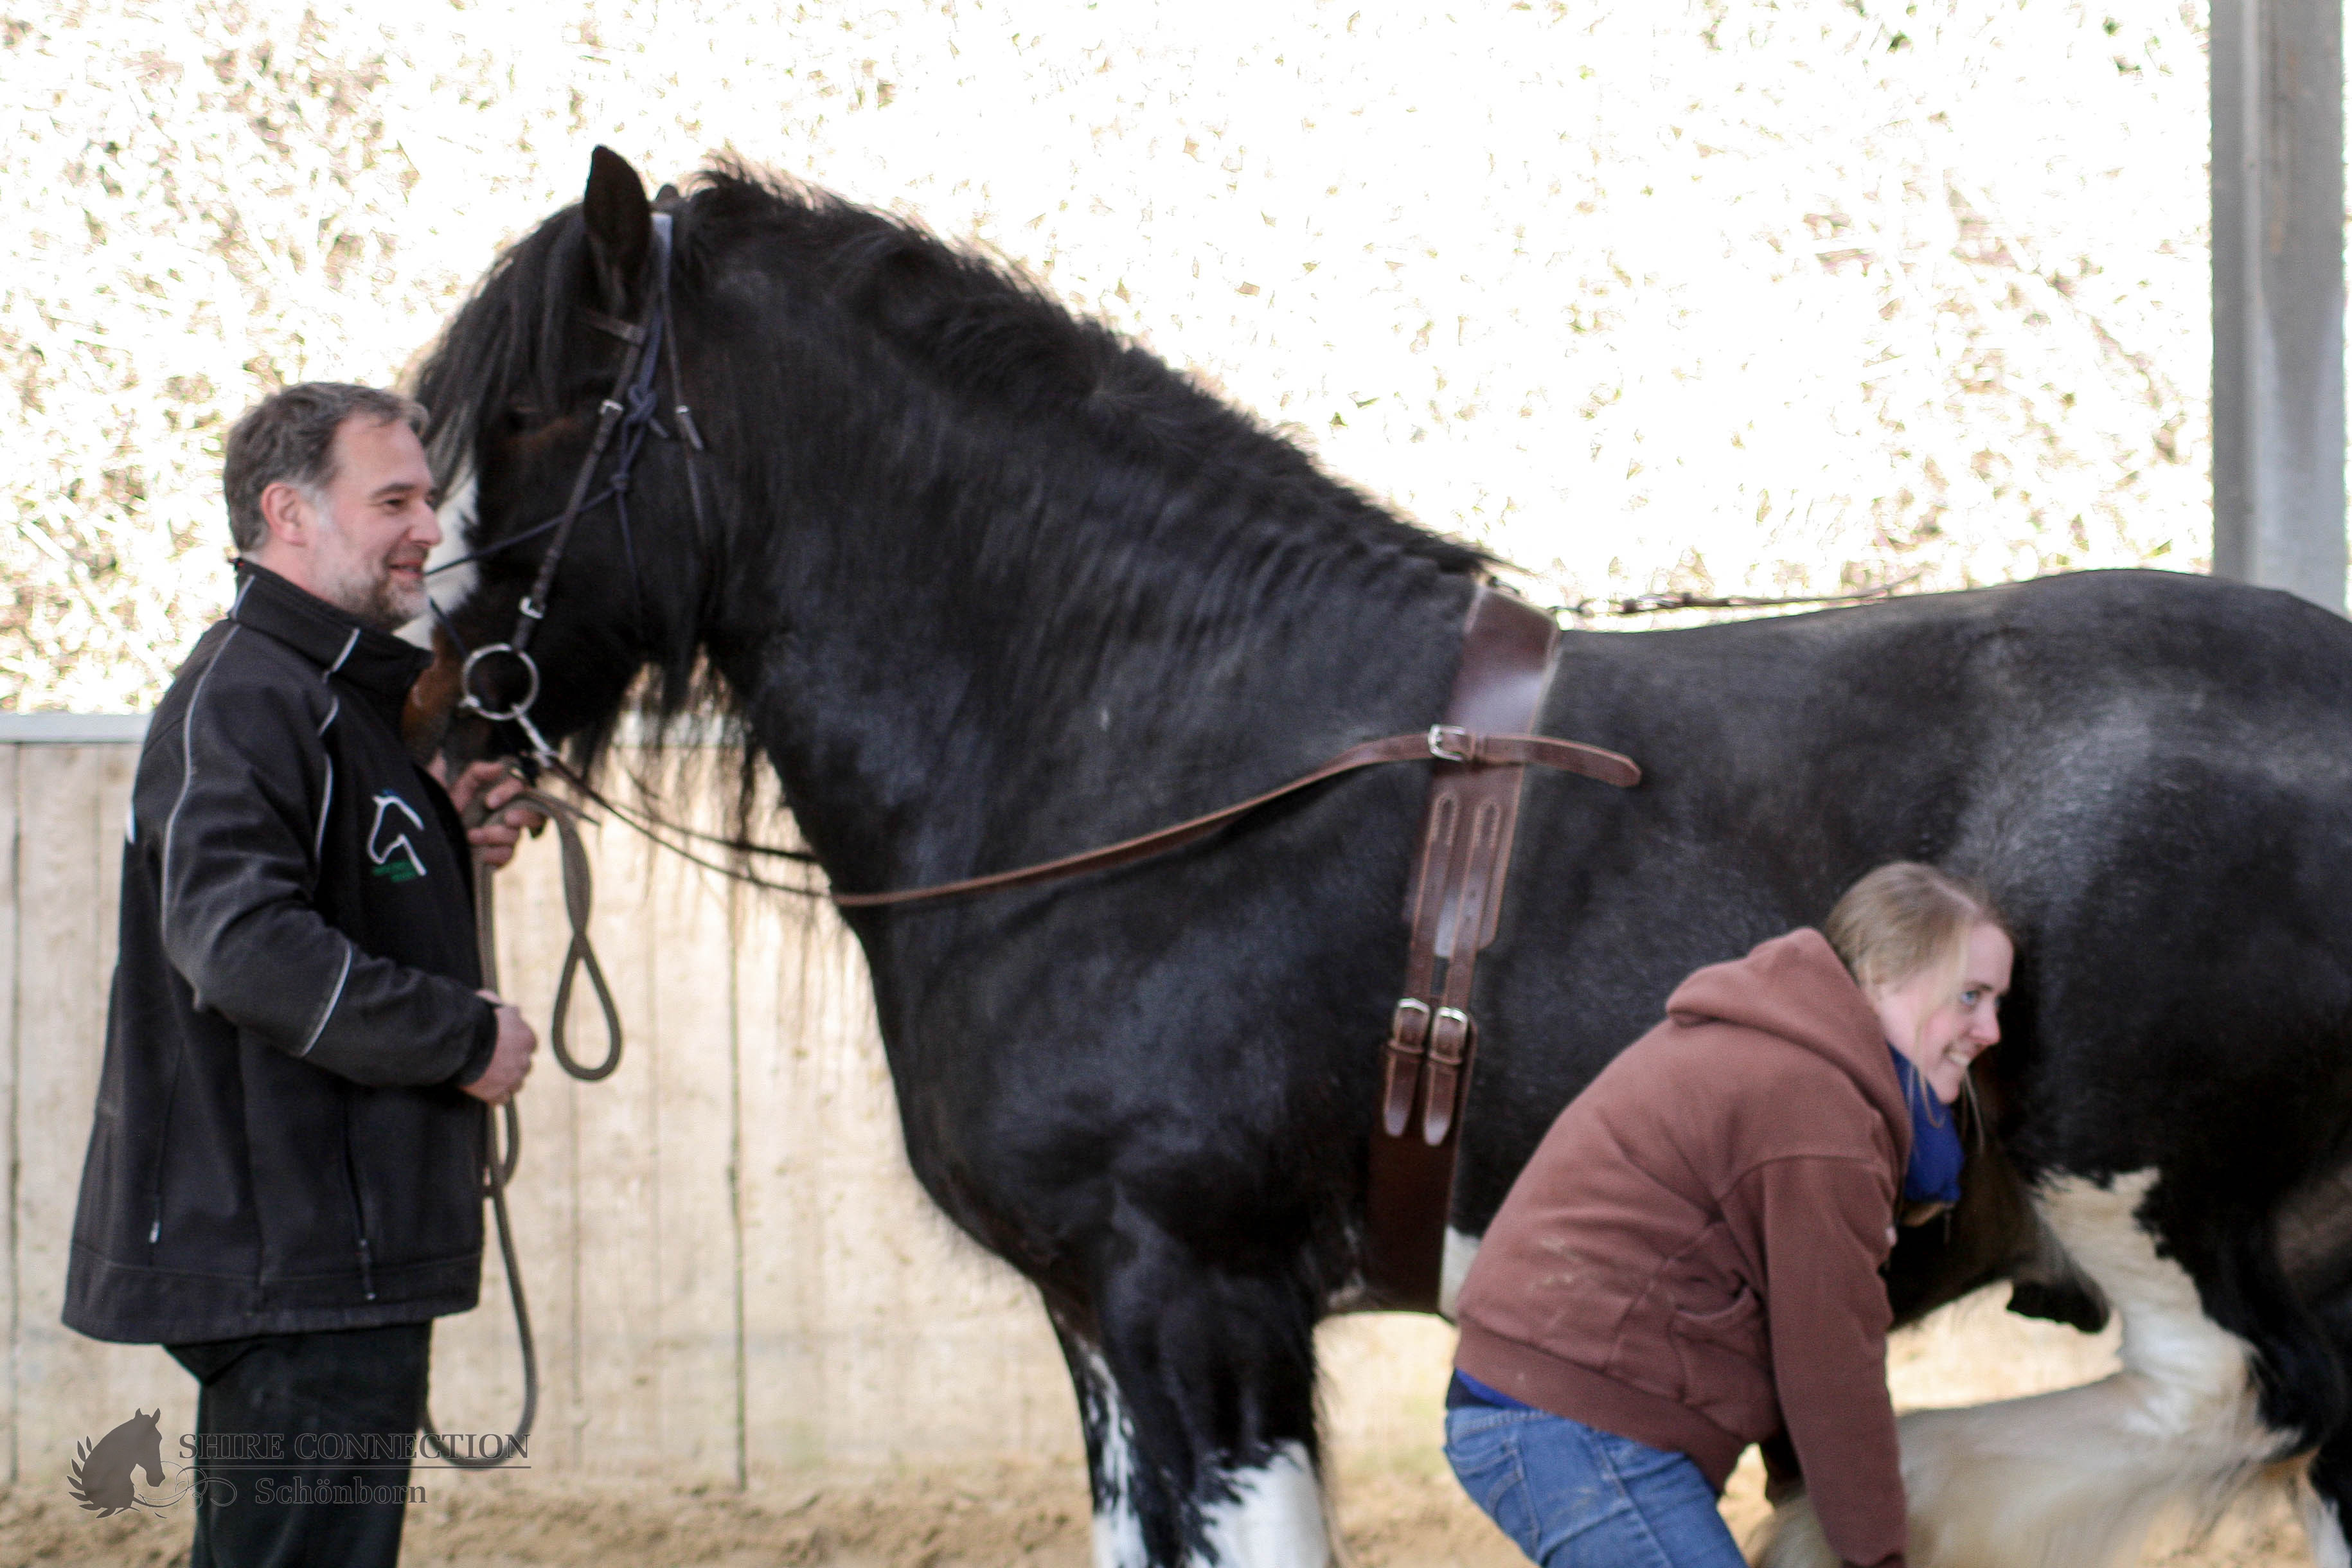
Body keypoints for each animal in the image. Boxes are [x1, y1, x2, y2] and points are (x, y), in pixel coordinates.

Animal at [414, 147, 2352, 1568]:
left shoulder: (1196, 1301)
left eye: (529, 416)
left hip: (2144, 1184)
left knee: (2234, 1389)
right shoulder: (1102, 1332)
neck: (1155, 740)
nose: (428, 708)